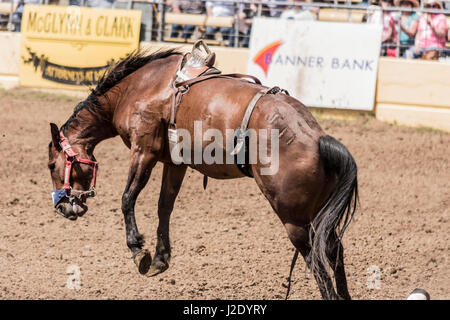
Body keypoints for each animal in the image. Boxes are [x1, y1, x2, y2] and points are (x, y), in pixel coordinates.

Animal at [47, 47, 358, 300]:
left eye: (51, 165)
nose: (62, 207)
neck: (137, 87)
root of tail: (318, 138)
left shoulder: (143, 149)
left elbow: (128, 198)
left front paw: (139, 251)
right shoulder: (175, 162)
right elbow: (164, 206)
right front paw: (160, 258)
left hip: (295, 220)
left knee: (317, 259)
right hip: (317, 214)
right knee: (334, 250)